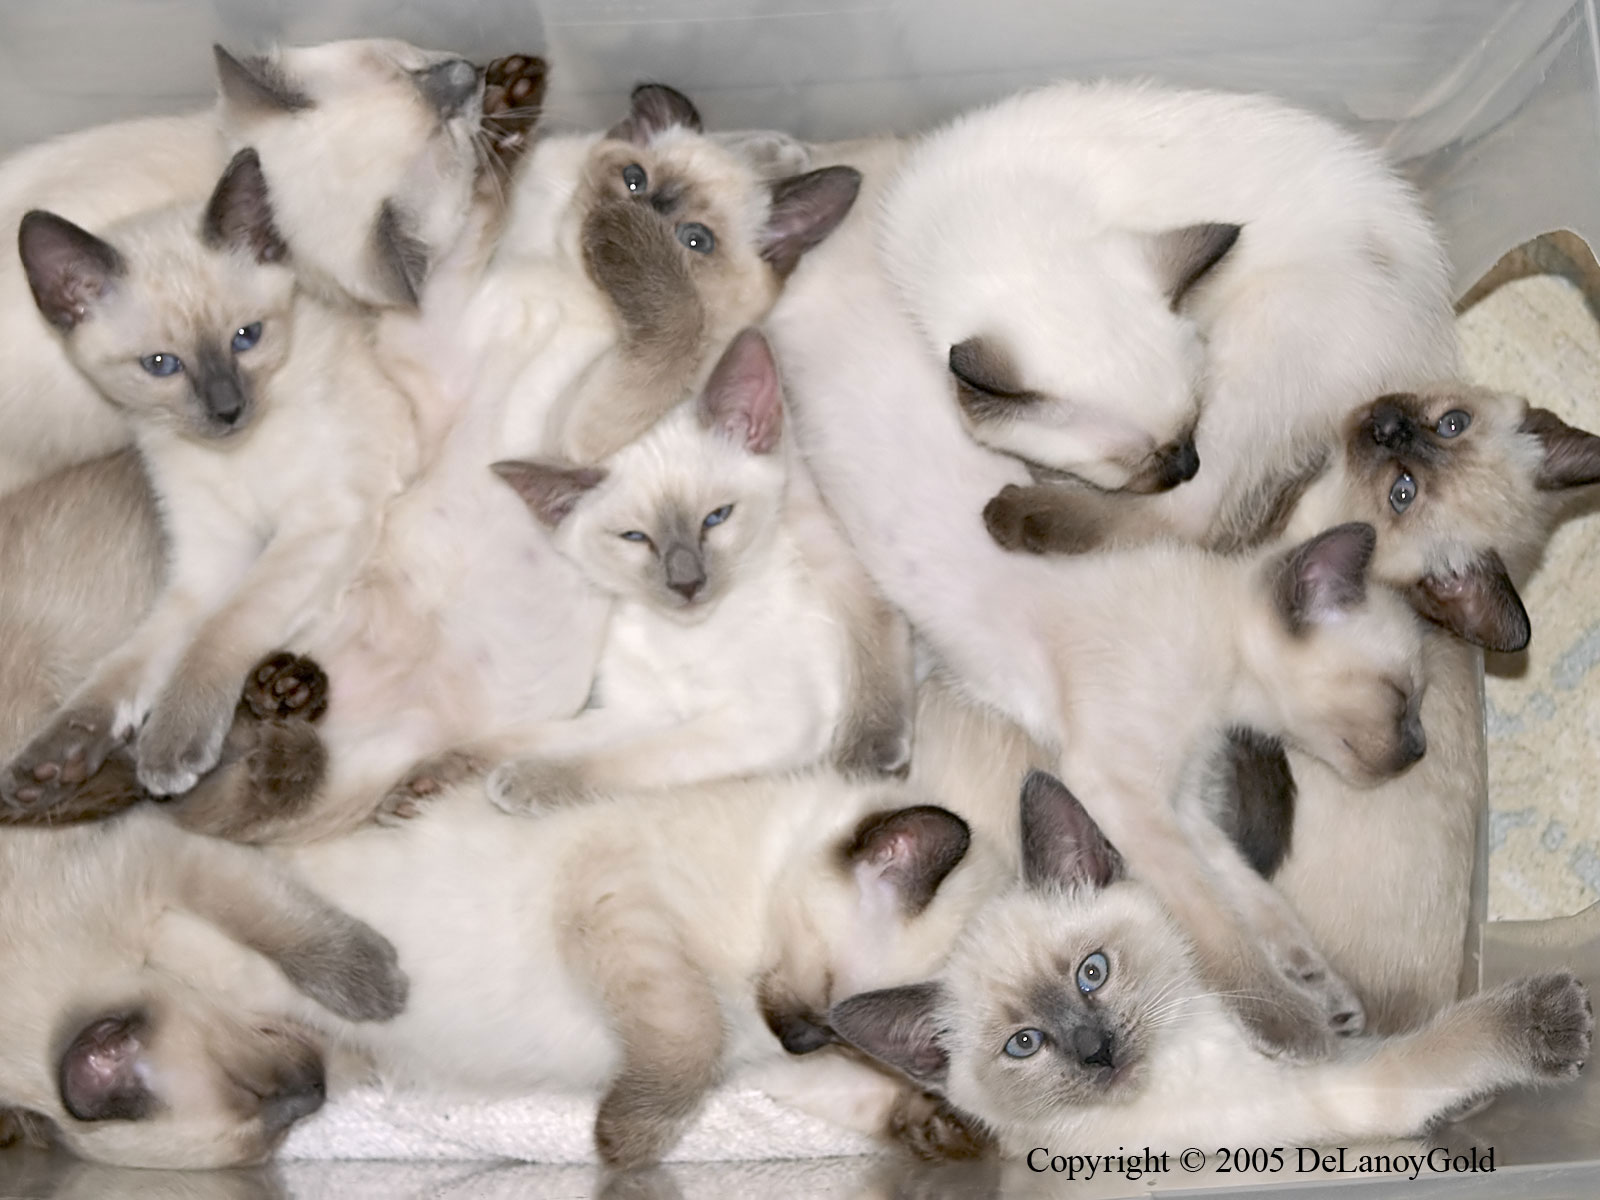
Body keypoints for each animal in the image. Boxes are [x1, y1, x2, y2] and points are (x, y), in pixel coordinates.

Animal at [829, 770, 1592, 1158]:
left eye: (1092, 973)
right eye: (1025, 1045)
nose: (1097, 1050)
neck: (1189, 1053)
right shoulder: (1350, 1087)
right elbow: (1446, 1044)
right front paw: (1558, 1020)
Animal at [877, 80, 1457, 524]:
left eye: (1195, 416)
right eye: (1129, 460)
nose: (1186, 466)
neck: (1010, 231)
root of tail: (1435, 345)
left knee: (1184, 523)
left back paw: (1020, 515)